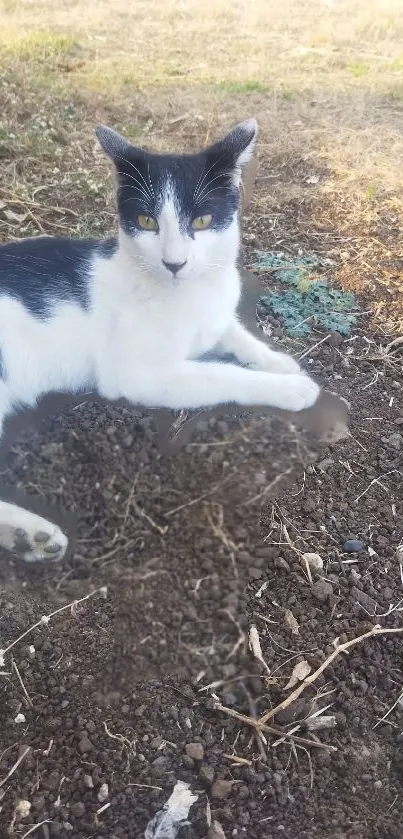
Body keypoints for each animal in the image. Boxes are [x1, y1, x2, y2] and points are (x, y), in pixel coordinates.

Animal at [0, 118, 320, 564]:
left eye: (202, 221)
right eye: (146, 221)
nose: (174, 263)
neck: (191, 291)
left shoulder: (214, 319)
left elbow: (233, 332)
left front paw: (278, 361)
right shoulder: (137, 375)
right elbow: (222, 375)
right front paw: (288, 387)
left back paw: (26, 538)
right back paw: (29, 532)